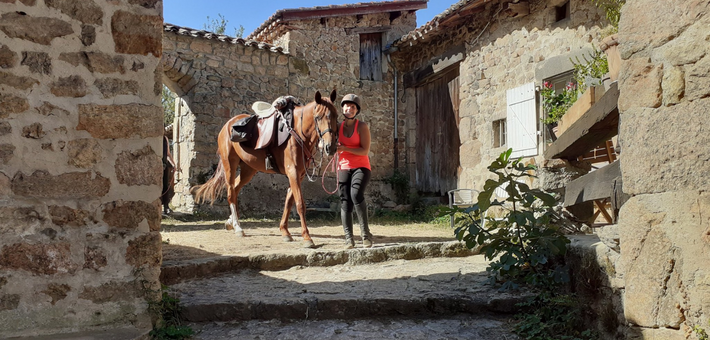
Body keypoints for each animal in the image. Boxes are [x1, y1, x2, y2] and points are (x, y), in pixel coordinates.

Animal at [195, 90, 340, 247]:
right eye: (318, 117)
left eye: (336, 116)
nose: (330, 147)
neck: (298, 133)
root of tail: (227, 125)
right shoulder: (293, 172)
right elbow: (300, 204)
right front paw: (307, 238)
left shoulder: (299, 174)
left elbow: (289, 201)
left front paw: (285, 231)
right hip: (230, 165)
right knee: (230, 192)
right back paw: (238, 227)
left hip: (248, 169)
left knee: (236, 188)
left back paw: (231, 222)